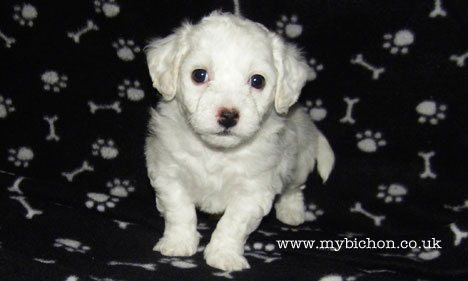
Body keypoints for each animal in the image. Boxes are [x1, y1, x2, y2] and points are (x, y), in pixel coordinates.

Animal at [145, 11, 332, 272]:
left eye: (257, 81)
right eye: (199, 75)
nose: (229, 115)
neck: (217, 152)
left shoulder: (253, 190)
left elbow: (233, 224)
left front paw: (224, 256)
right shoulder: (168, 172)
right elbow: (180, 210)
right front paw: (177, 244)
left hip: (299, 163)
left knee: (294, 189)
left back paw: (291, 212)